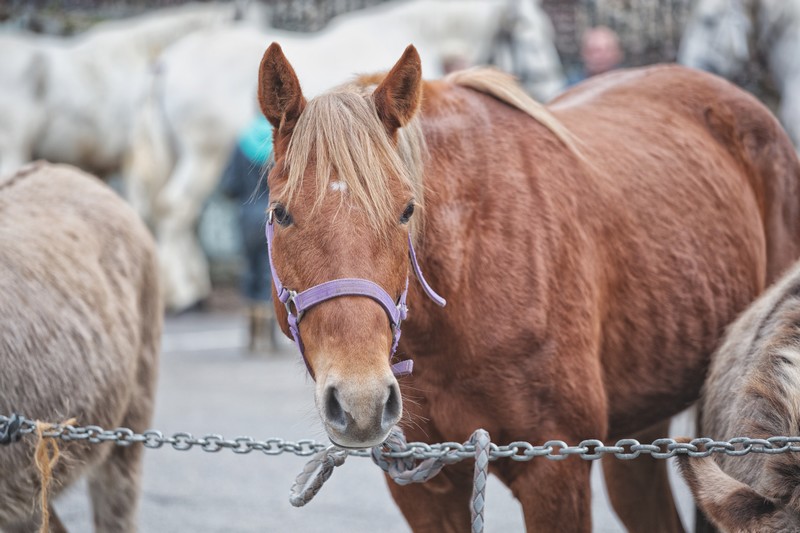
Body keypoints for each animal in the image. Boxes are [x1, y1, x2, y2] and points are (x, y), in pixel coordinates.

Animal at [125, 0, 564, 312]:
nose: (548, 85)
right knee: (176, 208)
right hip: (205, 154)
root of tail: (164, 62)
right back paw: (185, 295)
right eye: (529, 31)